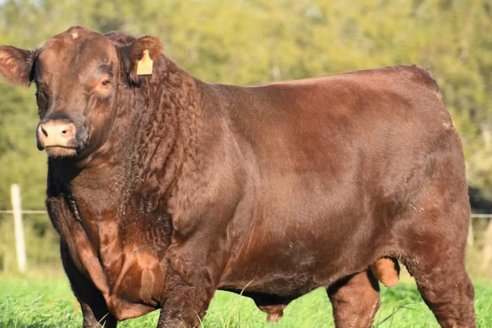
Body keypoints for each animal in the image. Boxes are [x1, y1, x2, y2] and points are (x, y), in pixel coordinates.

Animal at [0, 26, 476, 326]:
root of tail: (411, 76)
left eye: (105, 80)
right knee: (355, 304)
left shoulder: (192, 274)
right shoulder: (82, 277)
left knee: (455, 303)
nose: (56, 129)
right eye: (41, 82)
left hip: (437, 247)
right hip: (349, 255)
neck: (108, 214)